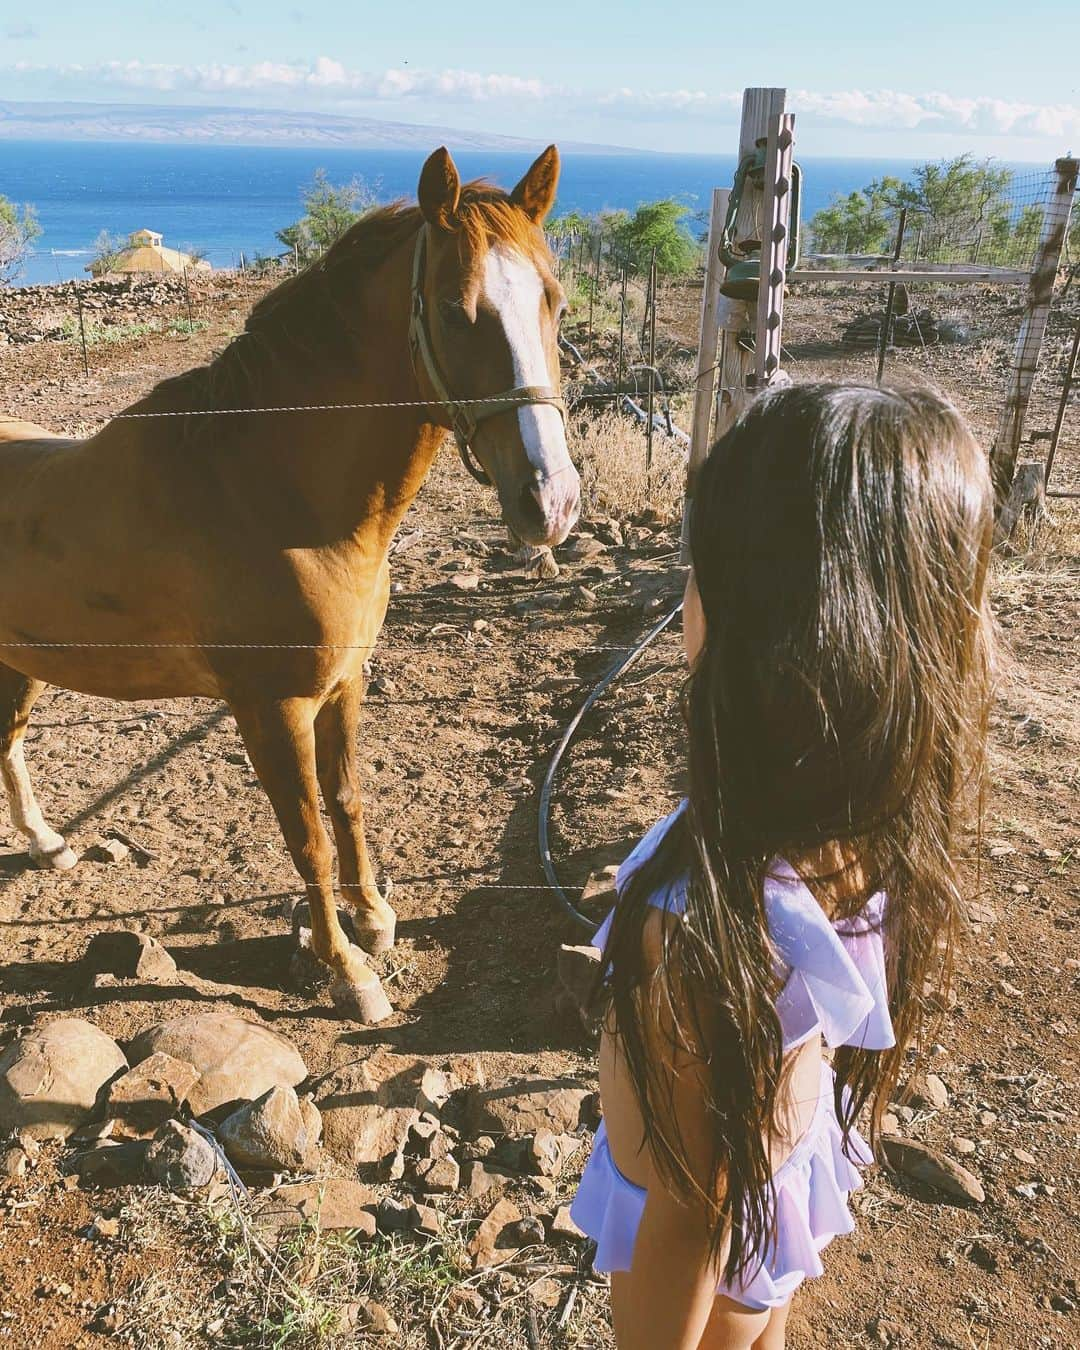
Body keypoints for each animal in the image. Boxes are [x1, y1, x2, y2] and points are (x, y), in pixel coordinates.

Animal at [0, 145, 583, 1020]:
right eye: (456, 311)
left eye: (553, 298)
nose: (551, 503)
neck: (275, 494)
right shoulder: (270, 709)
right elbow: (305, 836)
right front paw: (350, 973)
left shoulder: (344, 685)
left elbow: (347, 805)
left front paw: (375, 920)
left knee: (9, 742)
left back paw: (45, 844)